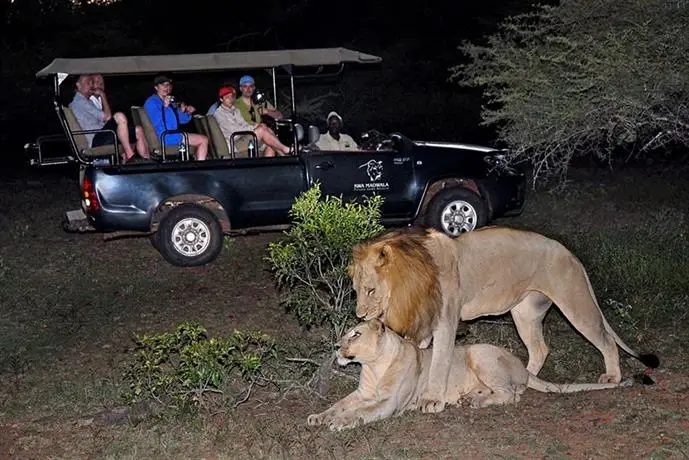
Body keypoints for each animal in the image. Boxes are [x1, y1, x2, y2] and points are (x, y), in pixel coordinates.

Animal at [306, 320, 624, 432]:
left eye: (356, 334)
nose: (336, 346)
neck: (373, 365)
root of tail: (522, 366)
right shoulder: (361, 393)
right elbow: (338, 404)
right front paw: (319, 417)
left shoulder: (390, 402)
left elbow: (362, 412)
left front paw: (340, 422)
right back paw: (469, 398)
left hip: (480, 354)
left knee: (511, 395)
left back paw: (478, 402)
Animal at [352, 226, 660, 414]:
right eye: (355, 290)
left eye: (371, 290)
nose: (360, 315)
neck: (409, 284)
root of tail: (571, 255)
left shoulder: (446, 320)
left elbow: (439, 361)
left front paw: (432, 399)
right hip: (525, 313)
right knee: (539, 349)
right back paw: (528, 376)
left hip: (574, 303)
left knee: (606, 340)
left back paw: (612, 376)